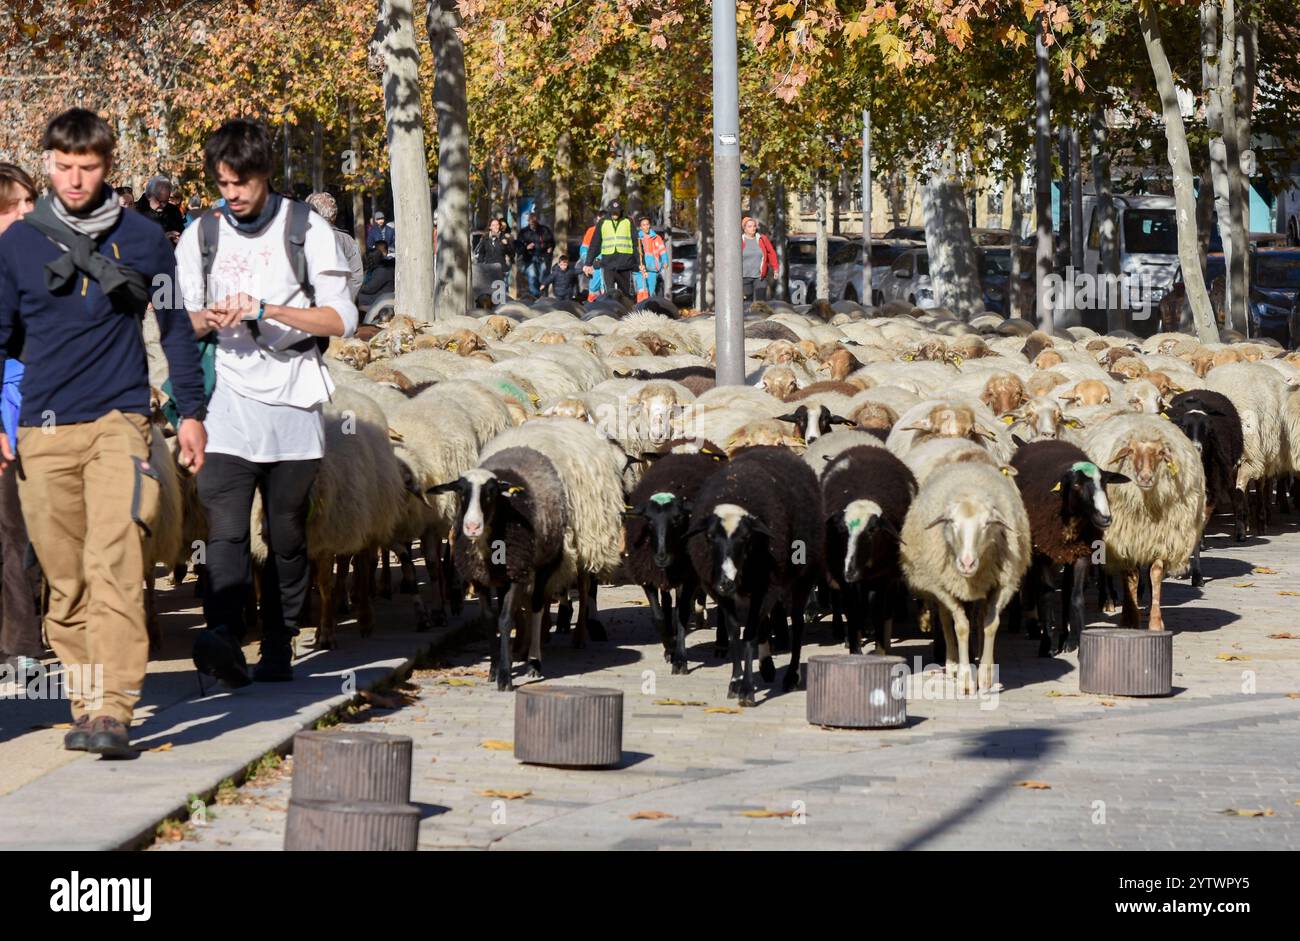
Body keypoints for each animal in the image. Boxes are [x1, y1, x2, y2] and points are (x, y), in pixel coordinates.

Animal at [621, 447, 728, 670]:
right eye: (648, 520)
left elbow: (682, 613)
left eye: (677, 519)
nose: (662, 557)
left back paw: (722, 644)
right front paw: (669, 649)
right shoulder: (648, 576)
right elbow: (659, 615)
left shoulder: (689, 576)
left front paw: (680, 659)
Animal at [681, 449, 821, 707]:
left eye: (746, 538)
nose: (726, 581)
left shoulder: (763, 588)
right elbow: (735, 633)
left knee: (797, 624)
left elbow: (749, 635)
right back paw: (767, 668)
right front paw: (736, 682)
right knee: (765, 623)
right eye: (710, 536)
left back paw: (791, 676)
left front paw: (746, 690)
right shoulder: (725, 594)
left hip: (801, 576)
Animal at [816, 441, 920, 649]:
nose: (850, 572)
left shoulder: (884, 577)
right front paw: (853, 643)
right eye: (841, 529)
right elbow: (853, 612)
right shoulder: (844, 579)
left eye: (873, 530)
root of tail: (862, 447)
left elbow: (879, 613)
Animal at [1003, 439, 1128, 655]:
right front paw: (1047, 645)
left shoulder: (1081, 554)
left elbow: (1075, 598)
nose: (1105, 518)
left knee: (1066, 592)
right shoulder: (1043, 553)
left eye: (1104, 483)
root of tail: (1045, 440)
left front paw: (1074, 641)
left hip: (1067, 555)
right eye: (1076, 485)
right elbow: (1046, 596)